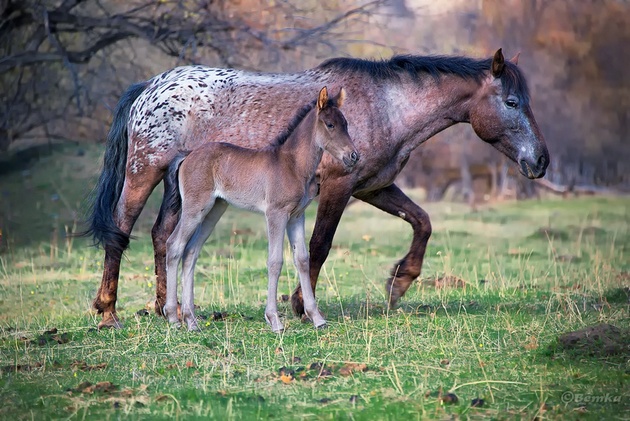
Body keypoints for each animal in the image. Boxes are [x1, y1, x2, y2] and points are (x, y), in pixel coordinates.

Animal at [86, 48, 552, 328]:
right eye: (512, 102)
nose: (541, 160)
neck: (386, 105)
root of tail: (149, 86)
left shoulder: (373, 187)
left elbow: (422, 222)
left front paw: (400, 282)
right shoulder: (338, 186)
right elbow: (319, 245)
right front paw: (297, 304)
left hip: (181, 192)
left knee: (163, 238)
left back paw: (167, 309)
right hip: (144, 173)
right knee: (121, 232)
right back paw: (108, 311)